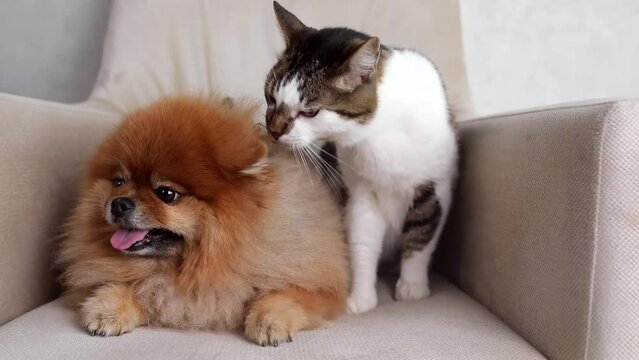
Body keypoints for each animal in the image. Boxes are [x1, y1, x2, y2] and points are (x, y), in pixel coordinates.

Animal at [57, 95, 350, 346]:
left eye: (166, 194)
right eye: (119, 182)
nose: (118, 203)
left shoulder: (319, 287)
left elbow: (287, 294)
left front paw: (270, 320)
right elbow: (137, 289)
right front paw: (106, 309)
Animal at [264, 1, 460, 314]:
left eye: (310, 112)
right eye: (270, 97)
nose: (273, 130)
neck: (377, 133)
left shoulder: (435, 186)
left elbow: (421, 236)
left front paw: (412, 287)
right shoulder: (361, 192)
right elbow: (362, 243)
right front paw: (362, 298)